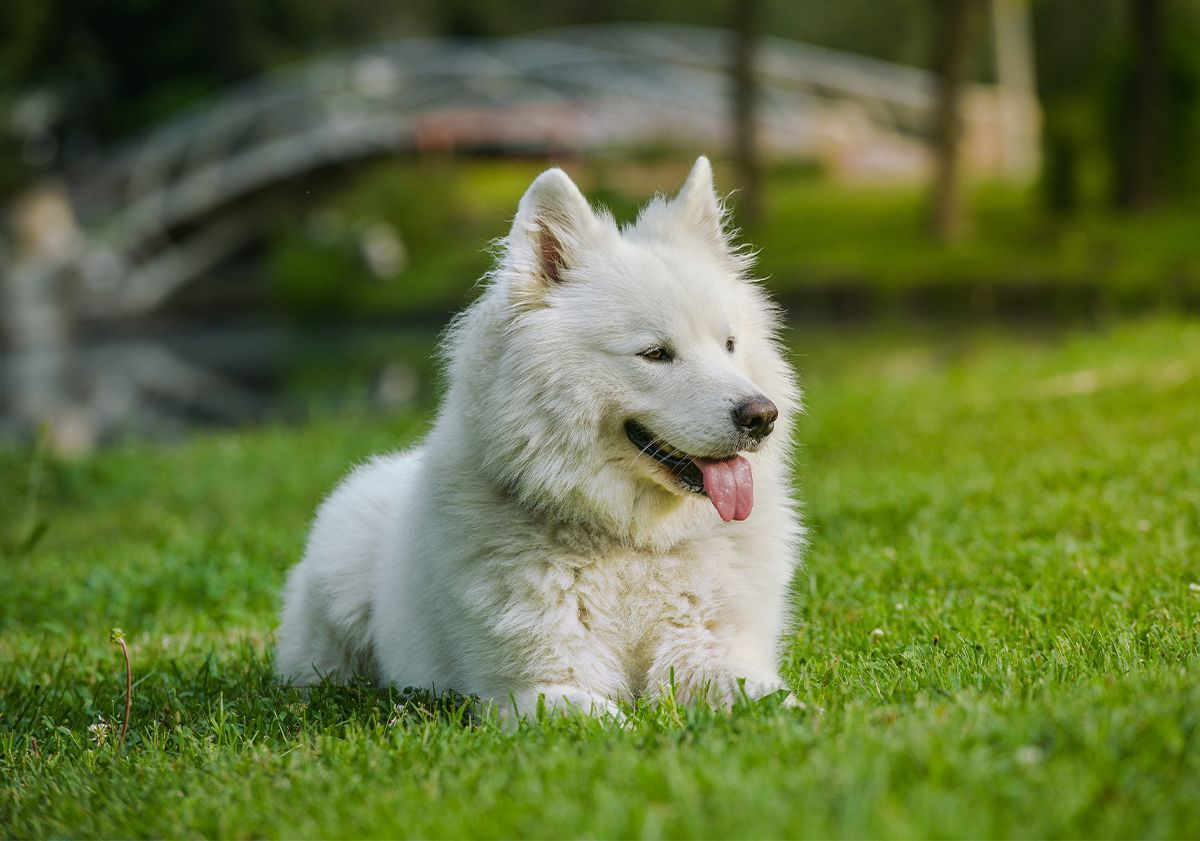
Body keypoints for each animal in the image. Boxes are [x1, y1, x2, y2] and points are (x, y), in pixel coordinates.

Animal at [278, 159, 806, 715]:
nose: (762, 416)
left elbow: (770, 700)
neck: (633, 542)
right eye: (655, 353)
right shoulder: (535, 688)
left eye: (729, 345)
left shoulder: (710, 653)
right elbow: (608, 720)